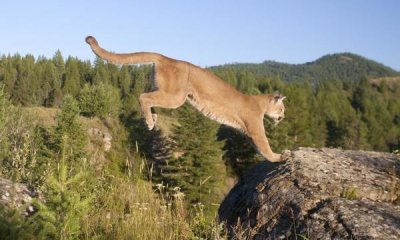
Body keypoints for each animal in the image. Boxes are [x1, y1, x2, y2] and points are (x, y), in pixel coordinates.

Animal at [85, 35, 288, 162]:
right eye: (282, 109)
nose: (283, 117)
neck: (260, 103)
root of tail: (168, 58)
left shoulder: (247, 132)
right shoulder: (255, 130)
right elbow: (265, 146)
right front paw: (279, 157)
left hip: (165, 90)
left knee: (149, 97)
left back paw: (152, 118)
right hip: (176, 96)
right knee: (143, 96)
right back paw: (150, 121)